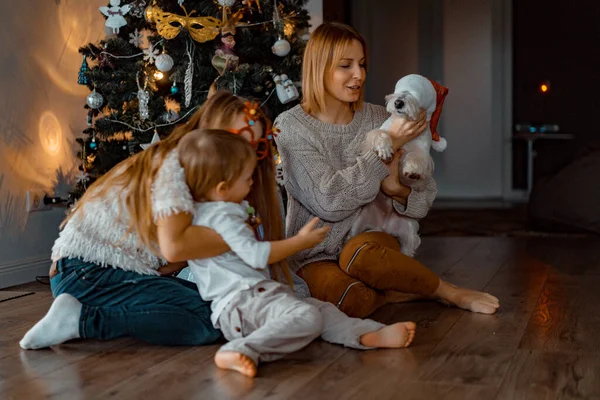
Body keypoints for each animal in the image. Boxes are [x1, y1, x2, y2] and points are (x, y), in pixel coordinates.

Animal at [350, 74, 448, 256]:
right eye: (399, 89)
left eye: (416, 93)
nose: (398, 103)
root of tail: (383, 227)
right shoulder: (372, 138)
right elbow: (380, 134)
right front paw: (385, 149)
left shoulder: (422, 152)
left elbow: (416, 158)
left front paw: (413, 171)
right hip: (357, 225)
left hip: (408, 229)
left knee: (408, 248)